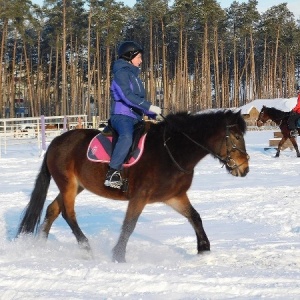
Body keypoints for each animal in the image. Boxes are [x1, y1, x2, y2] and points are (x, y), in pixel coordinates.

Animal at [17, 110, 250, 262]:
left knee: (53, 209)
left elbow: (195, 217)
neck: (172, 151)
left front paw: (204, 249)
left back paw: (40, 244)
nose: (245, 168)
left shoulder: (174, 196)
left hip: (76, 186)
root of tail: (56, 142)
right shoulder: (140, 196)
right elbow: (129, 225)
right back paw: (86, 247)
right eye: (237, 136)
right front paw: (118, 256)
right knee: (68, 213)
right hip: (68, 185)